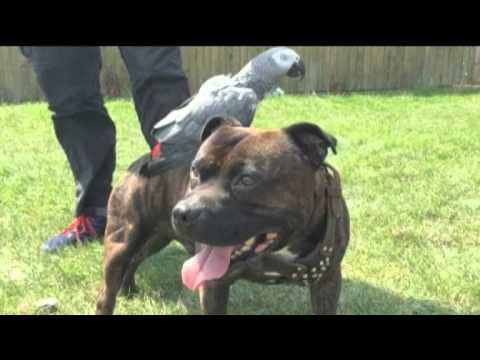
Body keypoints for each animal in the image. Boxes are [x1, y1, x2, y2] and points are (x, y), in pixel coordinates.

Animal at [95, 118, 350, 316]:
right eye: (195, 171)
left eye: (246, 180)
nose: (181, 212)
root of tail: (141, 161)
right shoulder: (213, 284)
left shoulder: (327, 281)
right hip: (122, 241)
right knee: (107, 290)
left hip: (156, 238)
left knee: (136, 258)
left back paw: (128, 288)